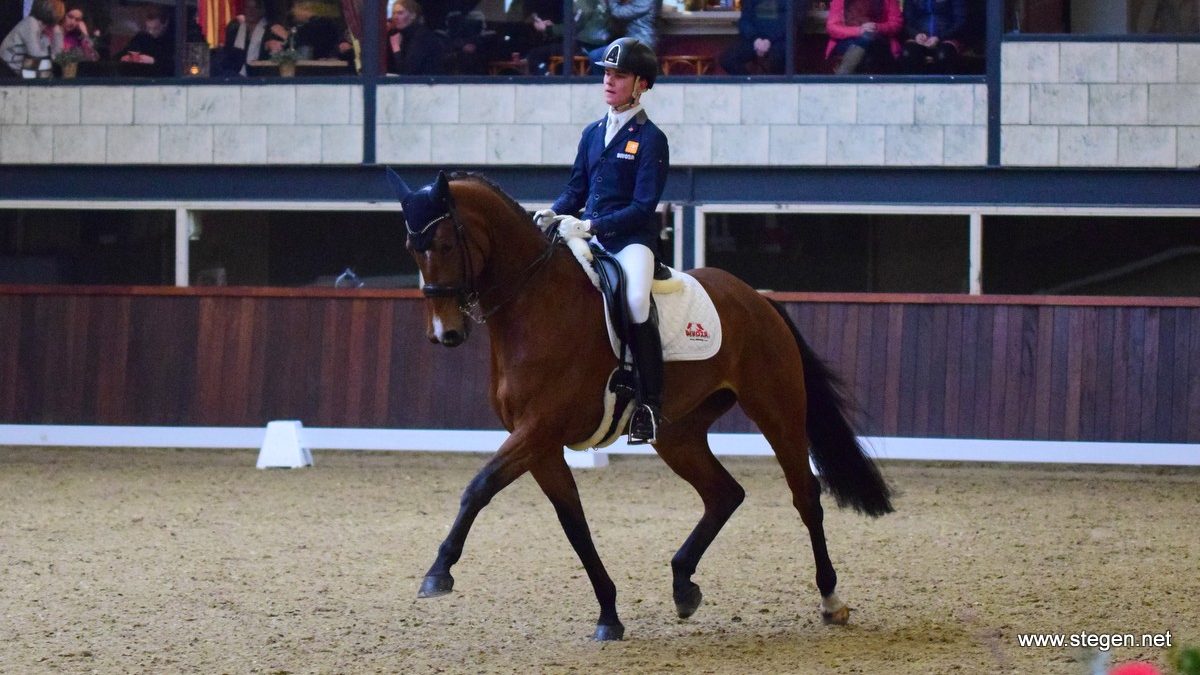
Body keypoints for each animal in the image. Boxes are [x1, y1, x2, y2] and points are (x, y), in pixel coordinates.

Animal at [398, 170, 897, 638]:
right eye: (410, 248)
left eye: (444, 243)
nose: (445, 334)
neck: (535, 302)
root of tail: (758, 299)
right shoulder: (539, 443)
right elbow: (574, 524)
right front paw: (609, 615)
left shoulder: (538, 429)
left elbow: (479, 487)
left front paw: (438, 573)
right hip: (676, 433)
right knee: (724, 493)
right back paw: (683, 585)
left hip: (777, 410)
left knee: (805, 495)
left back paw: (831, 601)